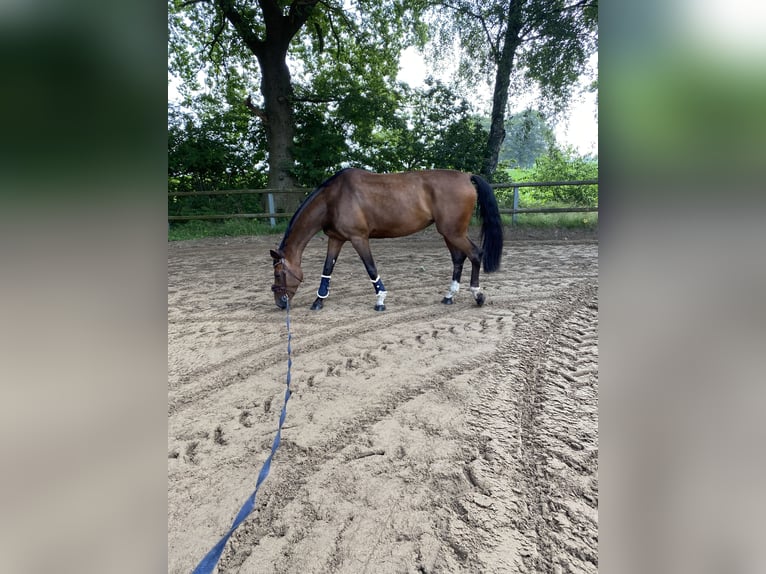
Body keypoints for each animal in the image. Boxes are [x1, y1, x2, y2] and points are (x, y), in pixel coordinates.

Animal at [272, 169, 508, 312]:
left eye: (278, 273)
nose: (280, 303)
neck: (333, 198)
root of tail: (467, 176)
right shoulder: (336, 239)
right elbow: (327, 269)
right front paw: (319, 300)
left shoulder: (359, 238)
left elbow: (371, 268)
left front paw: (380, 300)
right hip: (449, 233)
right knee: (459, 259)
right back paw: (449, 296)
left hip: (454, 232)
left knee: (475, 254)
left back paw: (478, 295)